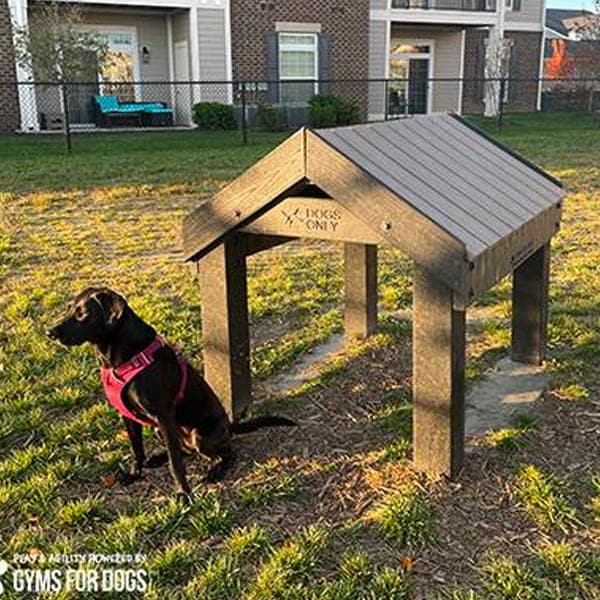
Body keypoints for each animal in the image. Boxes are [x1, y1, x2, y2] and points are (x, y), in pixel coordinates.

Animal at [45, 286, 294, 502]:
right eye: (70, 308)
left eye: (82, 314)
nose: (49, 332)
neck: (121, 359)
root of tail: (229, 426)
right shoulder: (129, 417)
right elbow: (137, 449)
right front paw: (135, 473)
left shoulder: (164, 416)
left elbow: (176, 464)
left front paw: (184, 493)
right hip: (162, 430)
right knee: (184, 451)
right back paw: (157, 458)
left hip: (199, 435)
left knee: (225, 453)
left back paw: (215, 471)